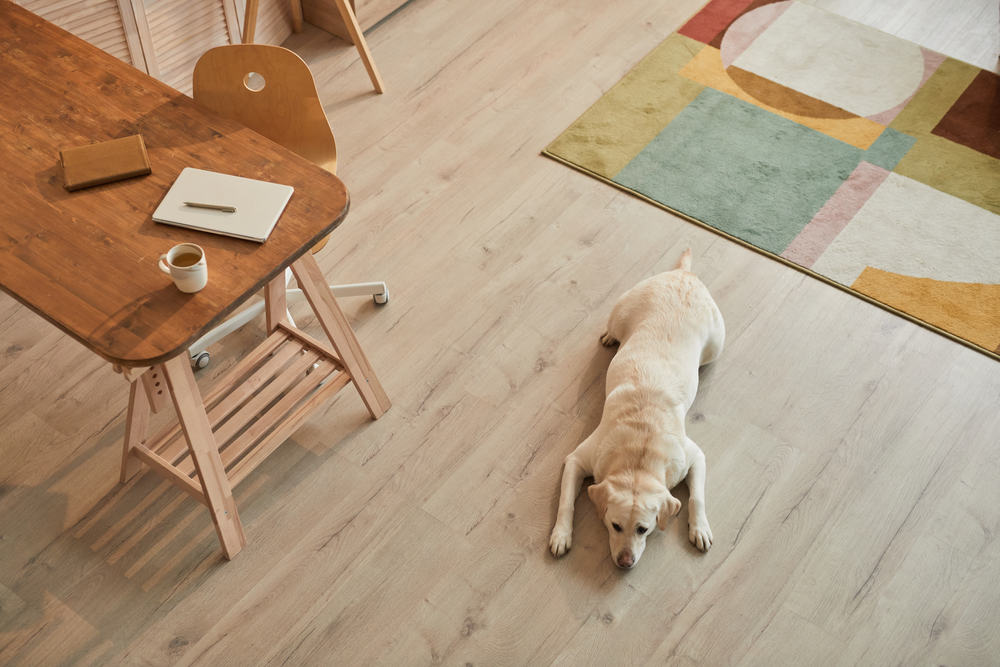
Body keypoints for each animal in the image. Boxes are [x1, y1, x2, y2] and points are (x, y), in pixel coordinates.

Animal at [552, 250, 724, 568]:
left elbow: (697, 497)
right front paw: (561, 535)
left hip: (716, 345)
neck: (638, 456)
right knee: (613, 328)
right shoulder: (577, 460)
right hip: (620, 312)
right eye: (615, 525)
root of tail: (684, 273)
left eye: (644, 529)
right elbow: (566, 502)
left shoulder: (694, 456)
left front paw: (700, 529)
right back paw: (609, 336)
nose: (625, 562)